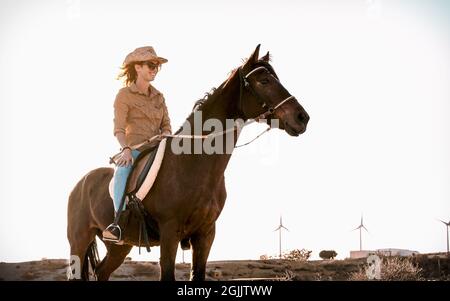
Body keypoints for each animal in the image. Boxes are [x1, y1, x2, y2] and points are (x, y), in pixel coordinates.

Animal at [67, 44, 310, 278]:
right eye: (264, 81)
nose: (302, 117)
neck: (192, 164)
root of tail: (80, 184)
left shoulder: (206, 234)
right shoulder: (169, 232)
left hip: (120, 246)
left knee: (102, 272)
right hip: (79, 243)